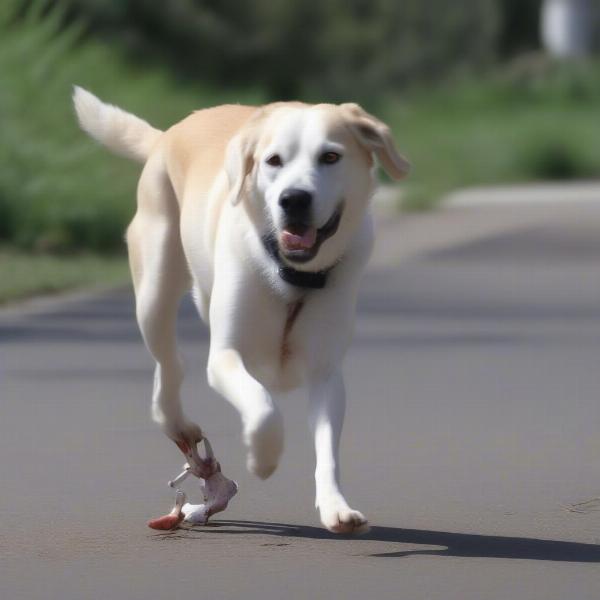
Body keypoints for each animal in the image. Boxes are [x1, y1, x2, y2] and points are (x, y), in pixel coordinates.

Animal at [70, 86, 408, 532]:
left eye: (330, 157)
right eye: (274, 160)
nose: (294, 199)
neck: (292, 276)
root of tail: (166, 135)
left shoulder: (326, 373)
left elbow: (327, 448)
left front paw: (337, 507)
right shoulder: (225, 357)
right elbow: (263, 409)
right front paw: (262, 459)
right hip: (155, 288)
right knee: (170, 366)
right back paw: (177, 424)